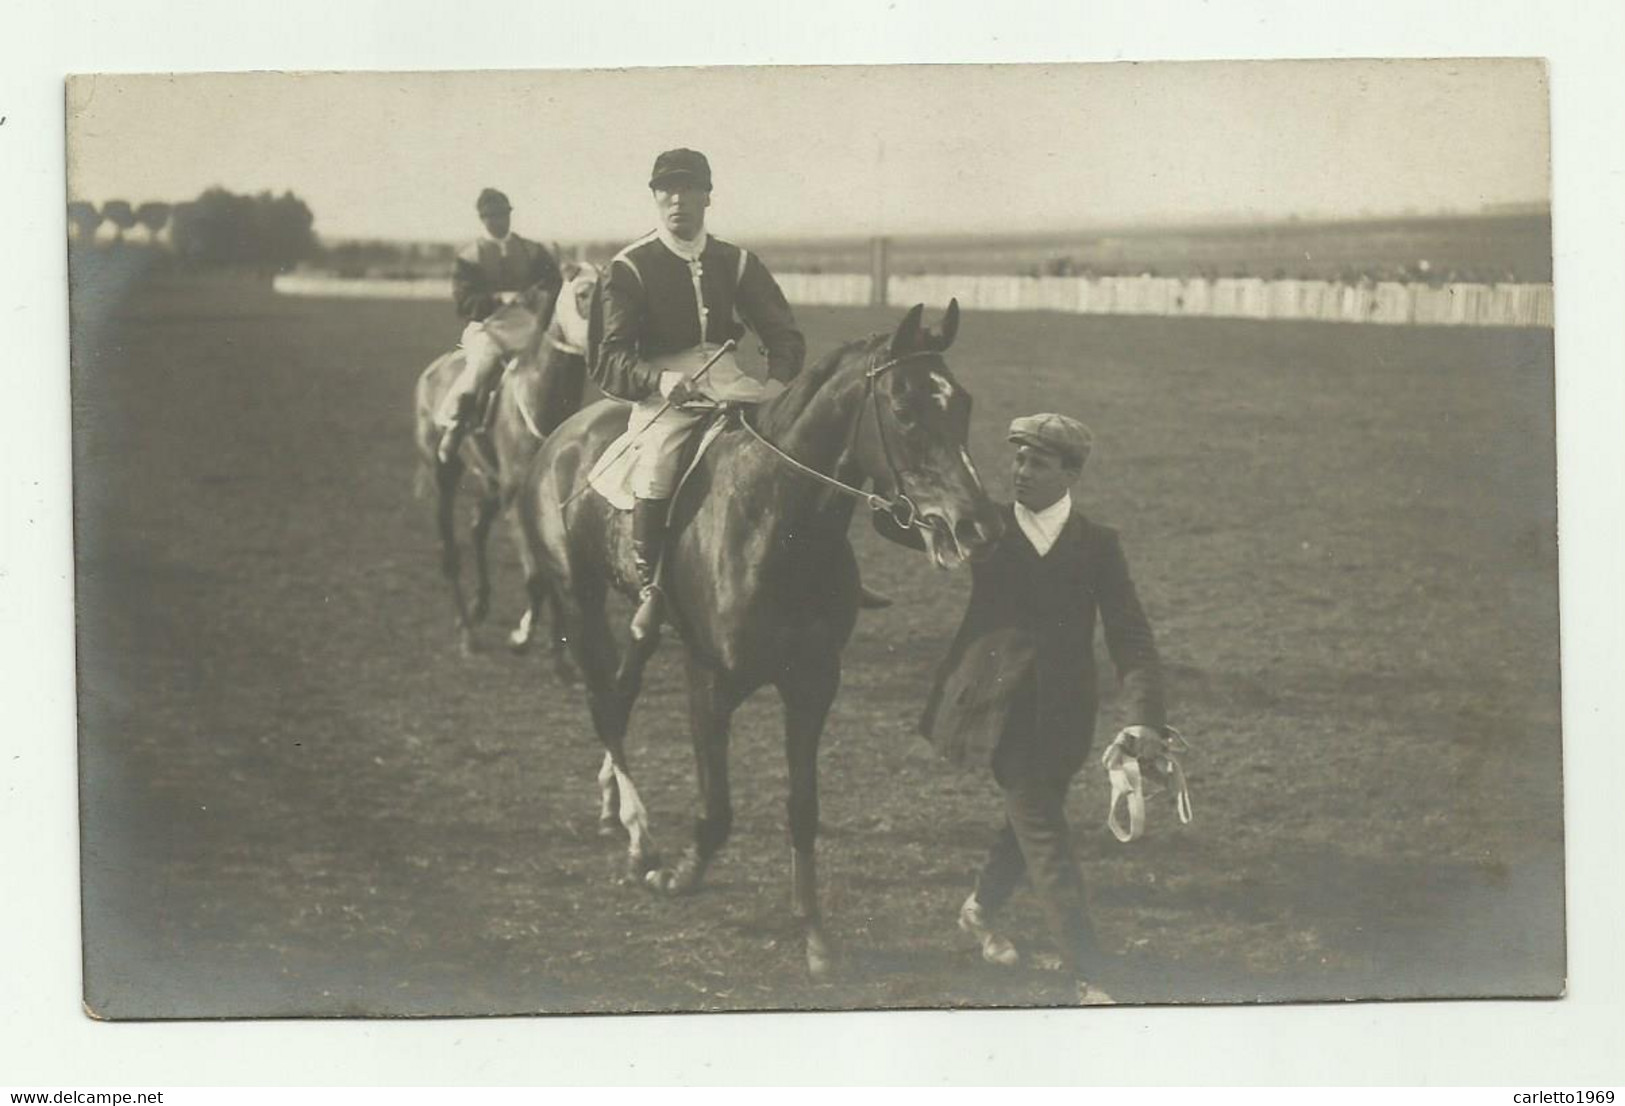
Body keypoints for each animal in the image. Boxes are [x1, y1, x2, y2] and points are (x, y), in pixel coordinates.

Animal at [416, 258, 601, 665]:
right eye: (583, 293)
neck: (538, 399)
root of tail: (430, 374)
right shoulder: (515, 498)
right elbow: (535, 577)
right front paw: (523, 634)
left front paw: (557, 647)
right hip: (444, 475)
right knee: (451, 551)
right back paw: (467, 632)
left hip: (488, 482)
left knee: (476, 529)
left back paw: (480, 606)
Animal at [516, 302, 1001, 974]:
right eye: (904, 407)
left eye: (964, 403)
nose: (976, 526)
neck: (777, 523)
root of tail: (563, 436)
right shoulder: (708, 680)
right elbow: (717, 810)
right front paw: (680, 875)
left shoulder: (813, 686)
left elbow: (803, 809)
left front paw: (813, 932)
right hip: (578, 598)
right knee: (603, 706)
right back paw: (640, 836)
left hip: (642, 624)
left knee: (621, 691)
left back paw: (616, 805)